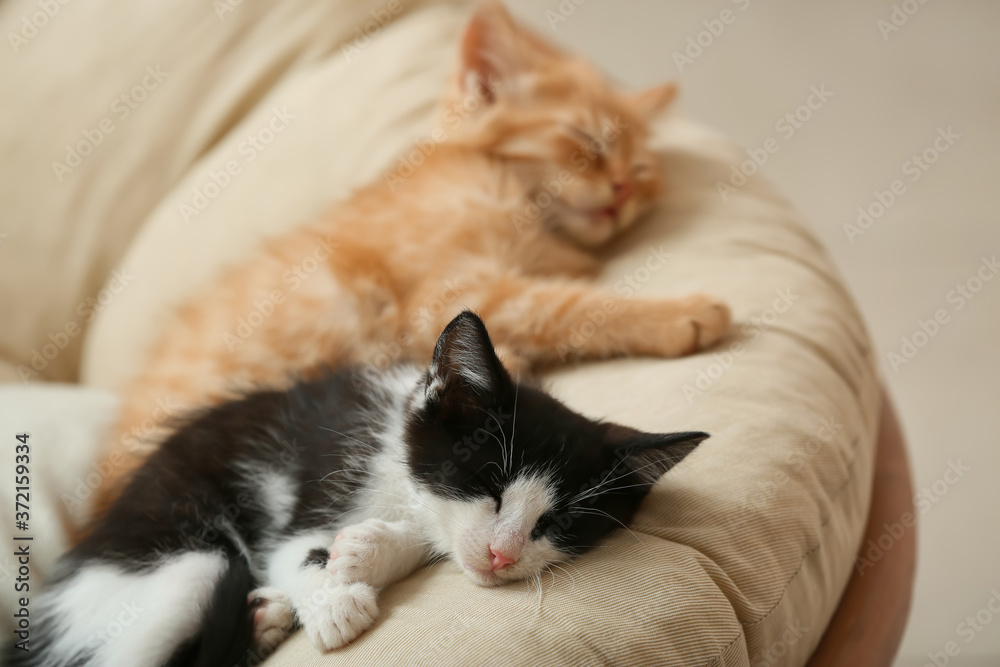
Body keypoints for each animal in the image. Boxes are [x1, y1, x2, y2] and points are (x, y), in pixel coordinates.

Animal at [11, 314, 708, 667]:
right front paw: (334, 601)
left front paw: (367, 553)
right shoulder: (311, 483)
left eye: (557, 524)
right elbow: (294, 551)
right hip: (181, 564)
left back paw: (263, 621)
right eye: (485, 483)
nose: (504, 555)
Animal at [95, 0, 728, 516]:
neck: (525, 209)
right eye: (586, 141)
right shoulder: (440, 295)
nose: (622, 190)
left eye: (642, 171)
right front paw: (680, 314)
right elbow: (565, 307)